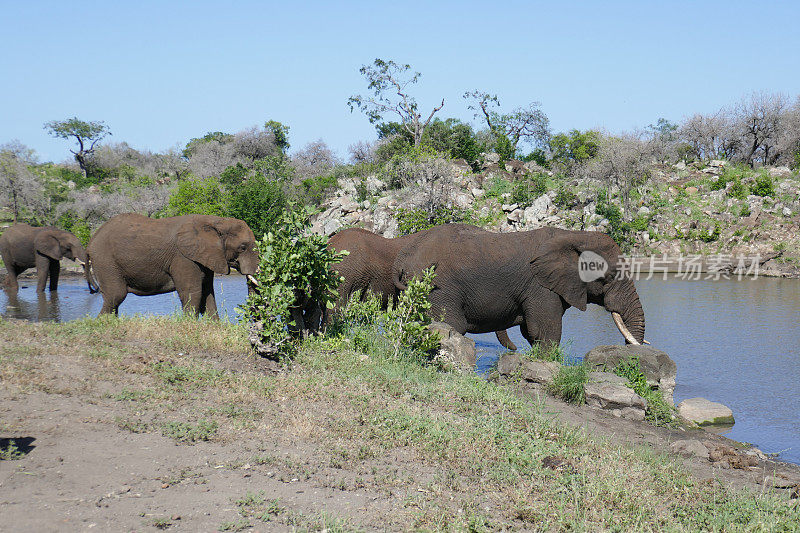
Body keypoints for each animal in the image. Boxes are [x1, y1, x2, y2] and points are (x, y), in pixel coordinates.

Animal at [87, 214, 256, 318]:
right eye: (242, 247)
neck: (216, 221)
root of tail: (92, 239)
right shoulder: (183, 258)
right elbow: (192, 293)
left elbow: (208, 294)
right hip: (106, 261)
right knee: (116, 295)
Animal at [390, 223, 648, 344]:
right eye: (610, 276)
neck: (575, 235)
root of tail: (403, 257)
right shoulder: (540, 288)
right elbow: (545, 332)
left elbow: (532, 333)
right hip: (437, 288)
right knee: (452, 325)